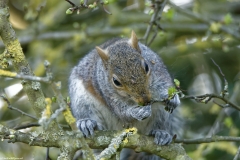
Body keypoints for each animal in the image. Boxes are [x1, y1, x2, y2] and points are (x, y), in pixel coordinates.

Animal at [68, 30, 180, 159]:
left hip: (162, 114)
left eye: (146, 66)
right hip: (81, 99)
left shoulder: (159, 72)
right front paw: (137, 112)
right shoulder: (108, 93)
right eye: (116, 81)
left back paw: (161, 133)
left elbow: (165, 84)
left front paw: (173, 98)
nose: (145, 99)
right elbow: (121, 111)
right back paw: (86, 123)